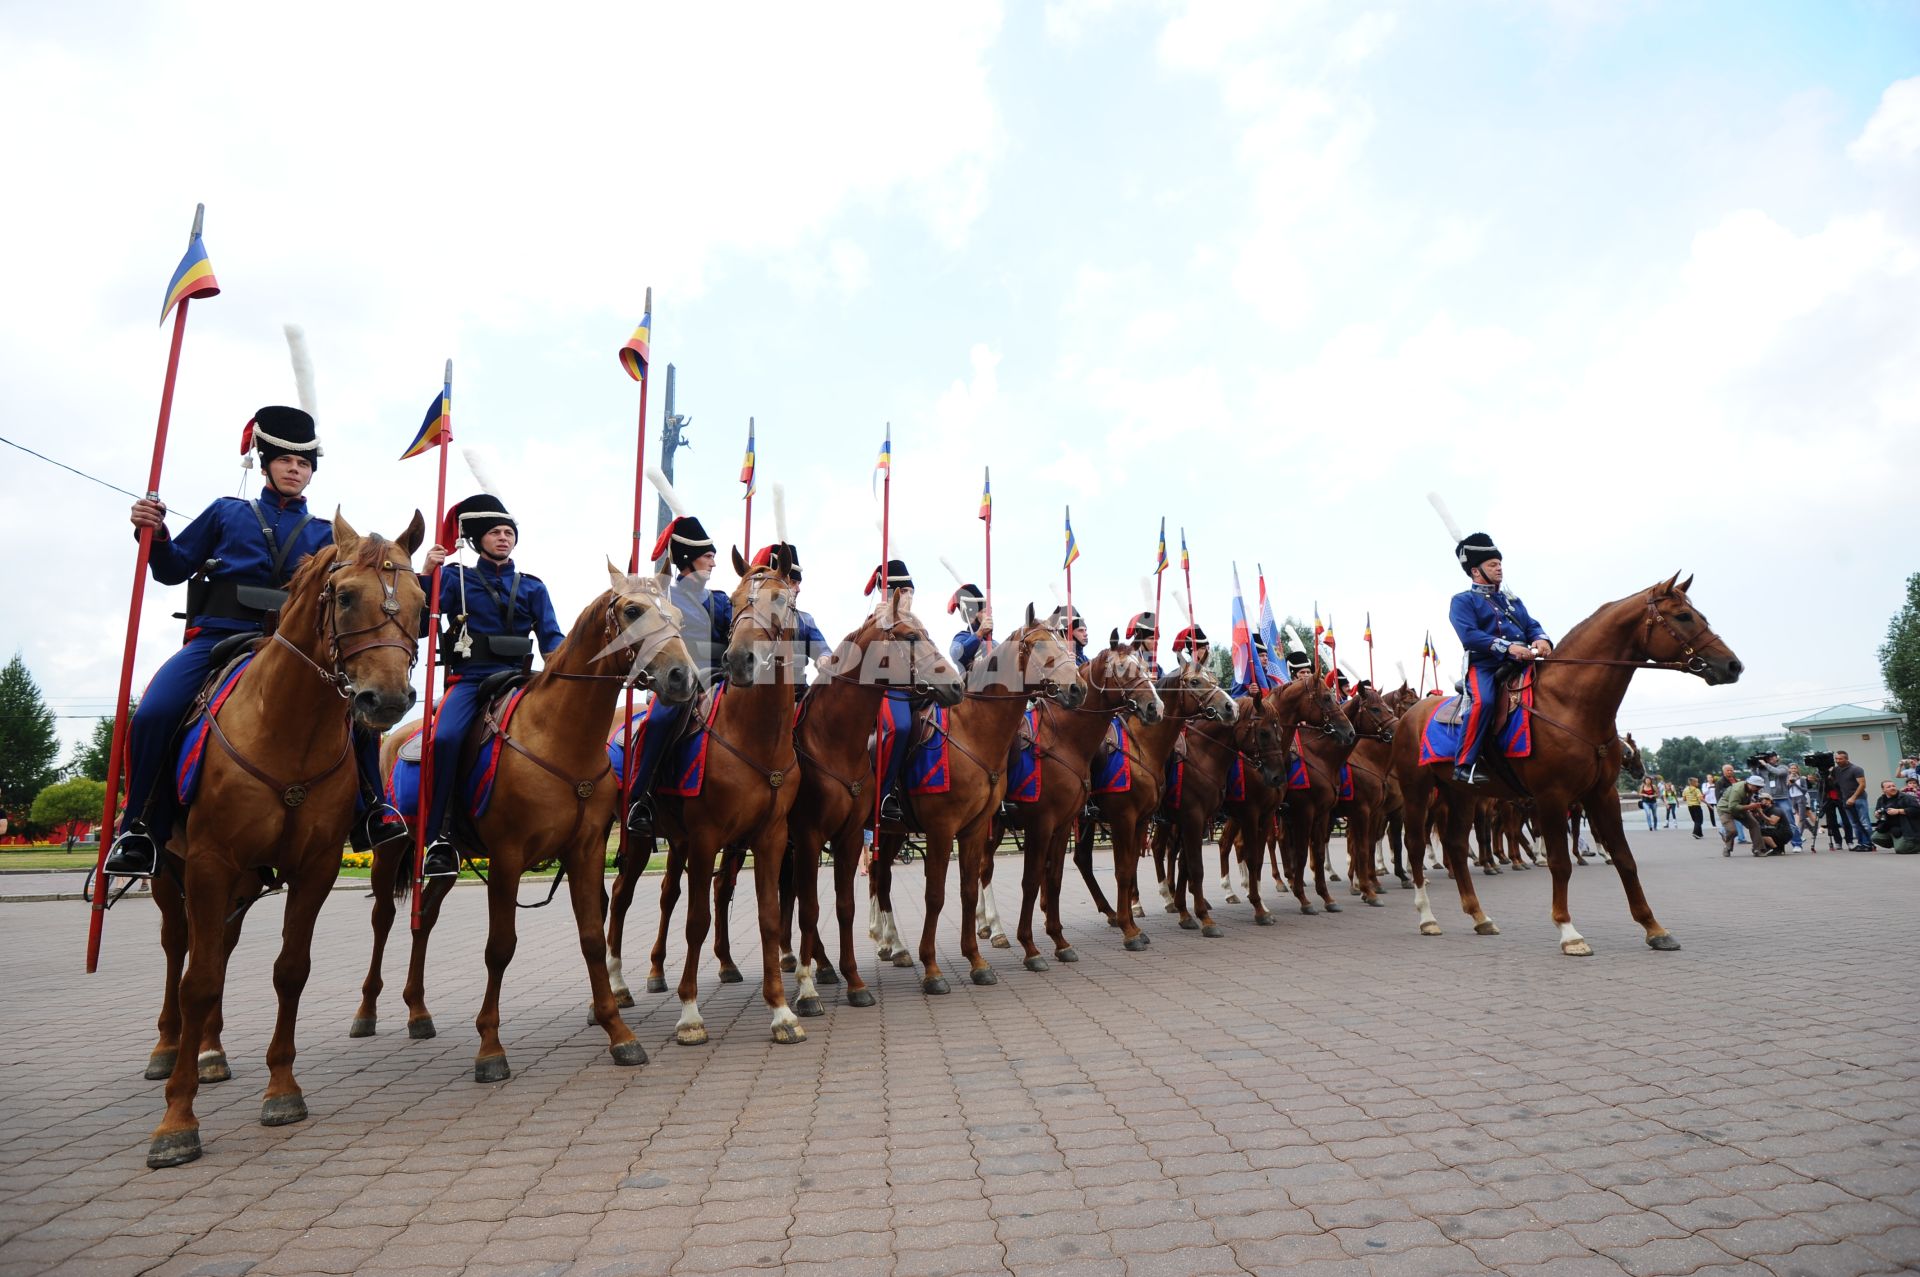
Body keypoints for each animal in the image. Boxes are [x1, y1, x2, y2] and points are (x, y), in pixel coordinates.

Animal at [143, 510, 428, 1167]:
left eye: (423, 605)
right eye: (344, 597)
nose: (388, 699)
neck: (287, 727)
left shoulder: (314, 867)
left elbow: (289, 970)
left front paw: (282, 1090)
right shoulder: (208, 863)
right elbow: (197, 979)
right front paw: (177, 1121)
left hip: (245, 880)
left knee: (219, 946)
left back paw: (210, 1051)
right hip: (171, 872)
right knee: (178, 949)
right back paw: (170, 1049)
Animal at [353, 568, 698, 1075]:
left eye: (676, 616)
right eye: (633, 610)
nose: (683, 676)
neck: (561, 737)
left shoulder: (586, 850)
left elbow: (592, 937)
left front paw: (618, 1032)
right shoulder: (508, 858)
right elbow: (500, 947)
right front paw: (490, 1048)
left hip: (448, 858)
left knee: (425, 918)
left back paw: (418, 1011)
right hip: (391, 849)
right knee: (382, 919)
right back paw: (367, 1011)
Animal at [606, 556, 802, 1044]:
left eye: (781, 599)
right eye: (733, 600)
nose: (739, 659)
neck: (754, 737)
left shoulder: (770, 838)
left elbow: (770, 917)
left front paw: (781, 1011)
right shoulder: (706, 838)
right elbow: (696, 921)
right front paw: (690, 1014)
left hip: (675, 843)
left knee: (665, 895)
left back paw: (656, 972)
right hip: (639, 838)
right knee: (620, 895)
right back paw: (617, 984)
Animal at [867, 614, 1090, 990]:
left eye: (1064, 643)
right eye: (1039, 645)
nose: (1077, 689)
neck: (972, 731)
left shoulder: (977, 829)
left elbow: (970, 890)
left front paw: (976, 960)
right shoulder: (945, 830)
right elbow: (937, 895)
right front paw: (932, 969)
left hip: (894, 831)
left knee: (881, 878)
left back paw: (894, 947)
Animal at [1390, 572, 1751, 952]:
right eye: (1683, 616)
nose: (1733, 665)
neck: (1570, 703)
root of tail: (1409, 716)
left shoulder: (1601, 795)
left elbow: (1624, 858)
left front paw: (1654, 928)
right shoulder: (1552, 797)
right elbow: (1560, 863)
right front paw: (1568, 931)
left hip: (1461, 794)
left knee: (1457, 846)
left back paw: (1480, 916)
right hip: (1418, 793)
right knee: (1415, 845)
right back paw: (1427, 917)